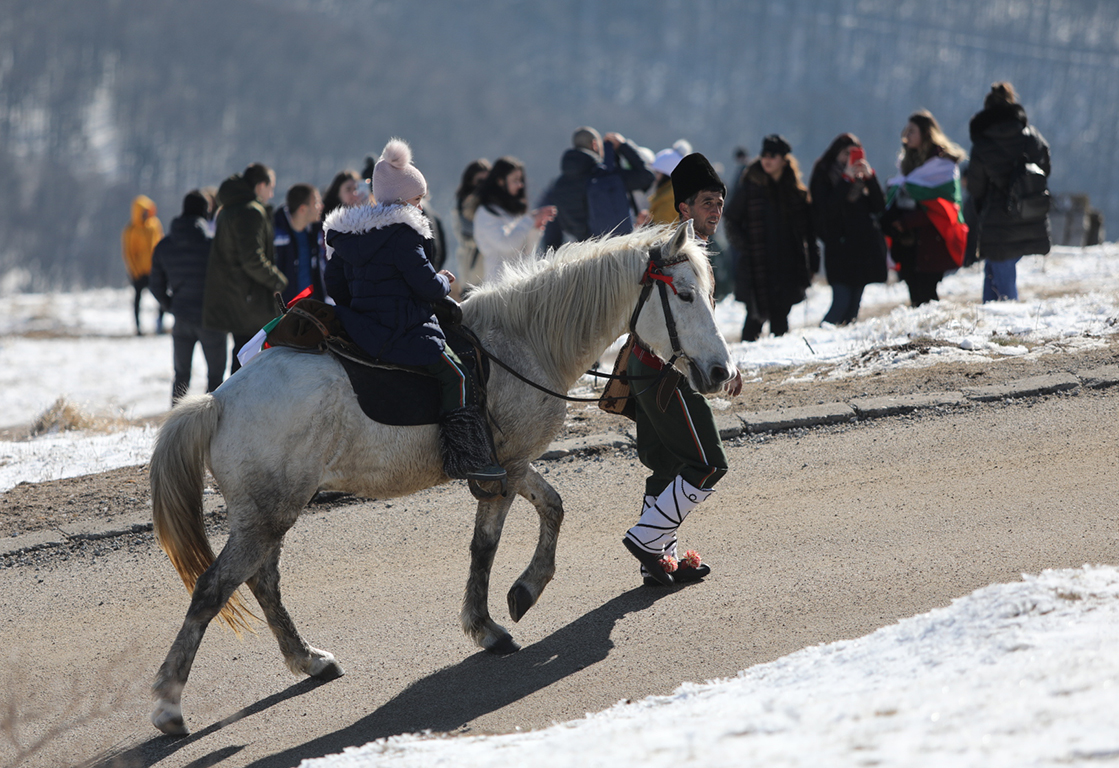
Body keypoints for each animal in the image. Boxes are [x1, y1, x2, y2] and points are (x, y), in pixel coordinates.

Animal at [146, 221, 734, 734]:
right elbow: (490, 542)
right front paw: (493, 621)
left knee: (261, 581)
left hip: (268, 513)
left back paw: (309, 660)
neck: (523, 339)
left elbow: (549, 508)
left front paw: (519, 595)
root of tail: (217, 402)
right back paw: (170, 705)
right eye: (685, 294)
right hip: (268, 513)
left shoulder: (509, 465)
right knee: (215, 588)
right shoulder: (506, 468)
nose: (722, 373)